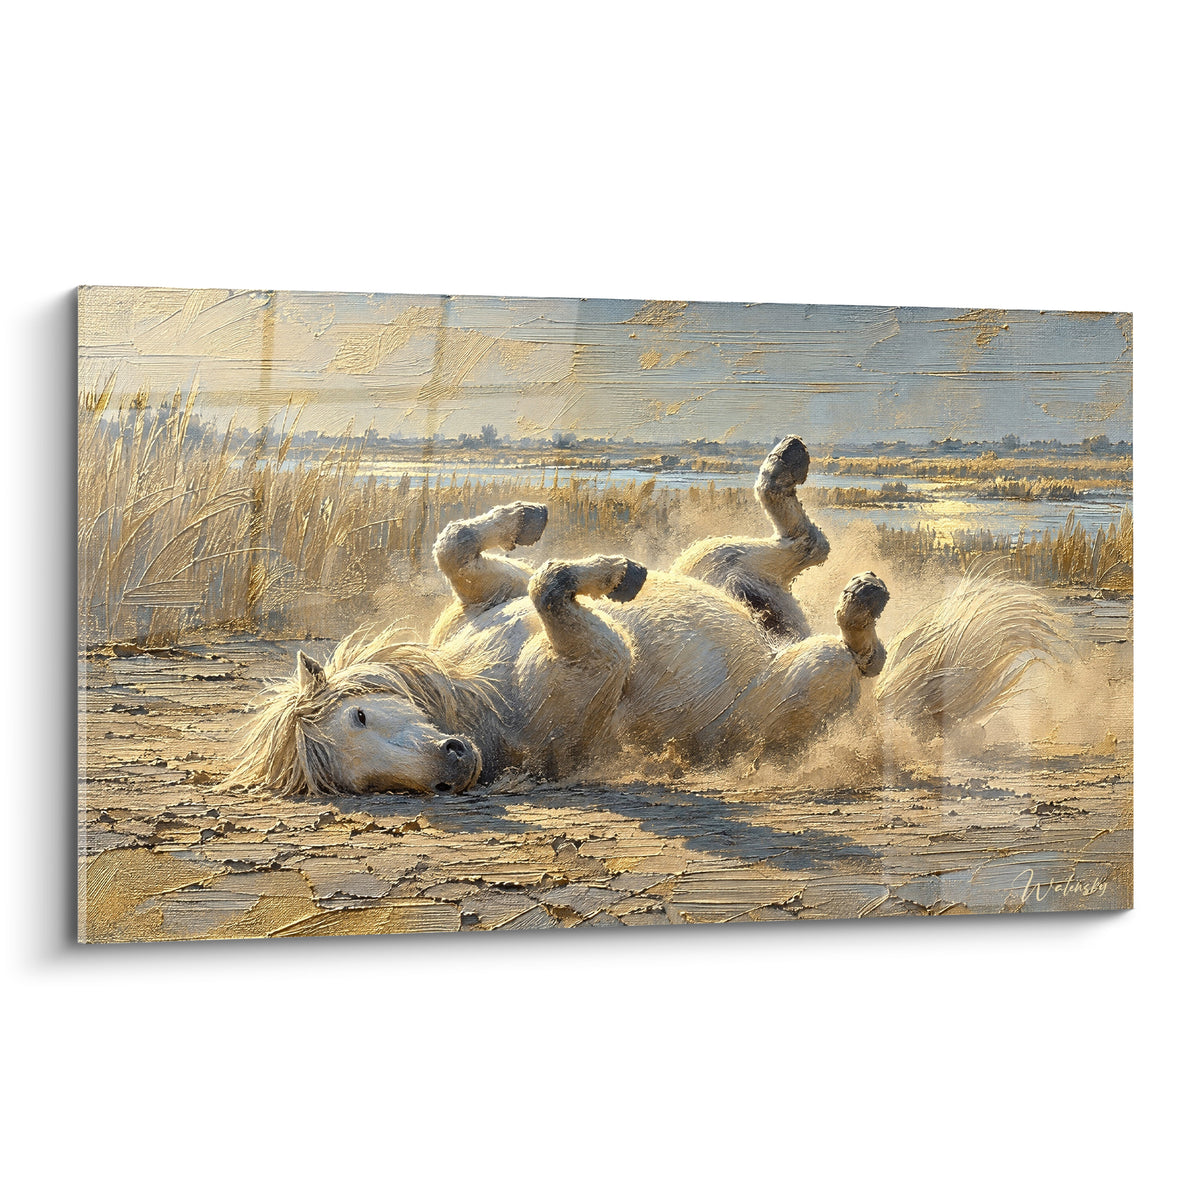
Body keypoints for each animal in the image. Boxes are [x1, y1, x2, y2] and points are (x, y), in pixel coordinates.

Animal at [227, 437, 1061, 797]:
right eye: (359, 784)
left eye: (362, 715)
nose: (456, 765)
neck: (482, 692)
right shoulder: (602, 664)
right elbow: (550, 591)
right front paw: (611, 576)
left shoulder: (482, 592)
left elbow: (464, 547)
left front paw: (542, 527)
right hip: (797, 682)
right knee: (859, 655)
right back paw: (861, 604)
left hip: (716, 562)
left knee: (804, 543)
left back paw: (786, 471)